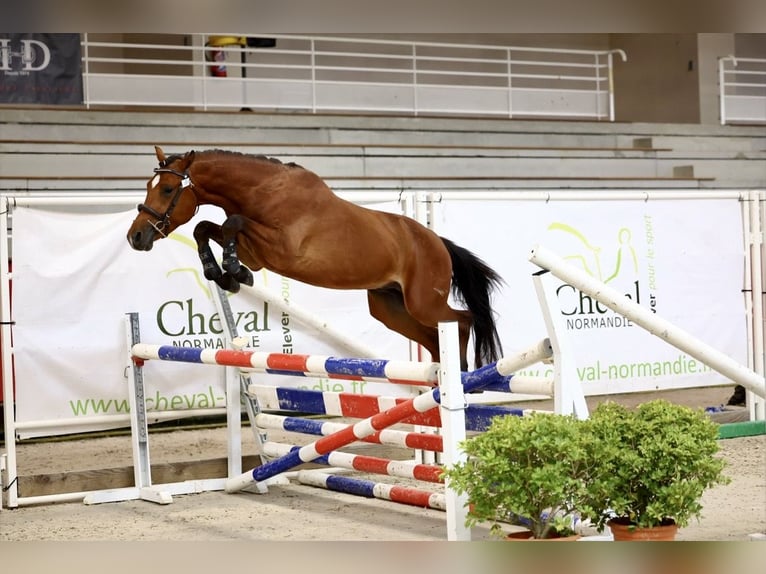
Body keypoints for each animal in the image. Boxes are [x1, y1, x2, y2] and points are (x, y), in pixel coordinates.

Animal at [127, 146, 504, 371]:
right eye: (148, 186)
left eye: (167, 190)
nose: (136, 237)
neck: (265, 192)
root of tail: (436, 242)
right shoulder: (257, 251)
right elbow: (206, 227)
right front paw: (223, 273)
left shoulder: (281, 249)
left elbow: (232, 222)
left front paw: (234, 272)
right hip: (391, 308)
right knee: (434, 337)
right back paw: (441, 376)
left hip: (423, 302)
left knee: (463, 320)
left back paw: (462, 372)